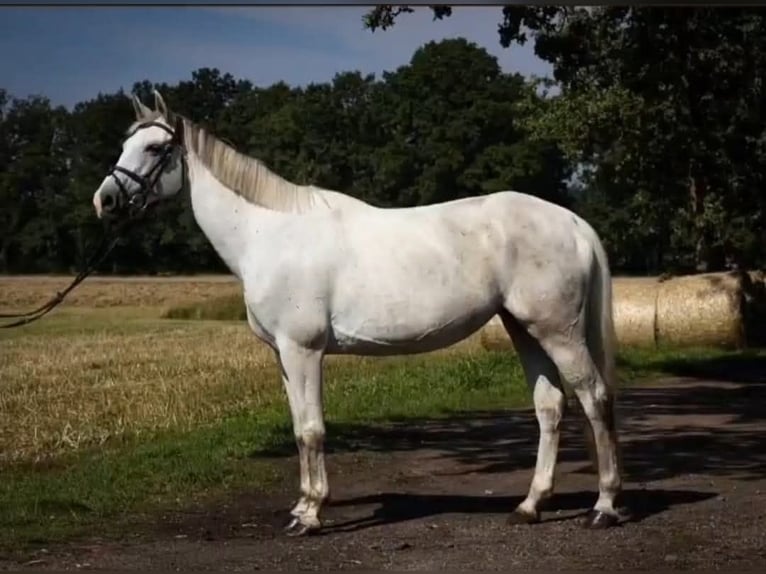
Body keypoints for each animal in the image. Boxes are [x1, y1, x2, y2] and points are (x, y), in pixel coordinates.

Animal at [93, 92, 628, 536]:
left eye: (155, 149)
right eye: (126, 143)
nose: (106, 200)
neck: (270, 235)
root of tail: (572, 221)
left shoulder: (303, 351)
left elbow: (312, 429)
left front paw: (310, 515)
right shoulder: (283, 357)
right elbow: (298, 428)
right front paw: (301, 505)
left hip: (558, 332)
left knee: (594, 398)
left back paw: (604, 506)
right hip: (524, 330)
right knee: (550, 406)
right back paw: (530, 505)